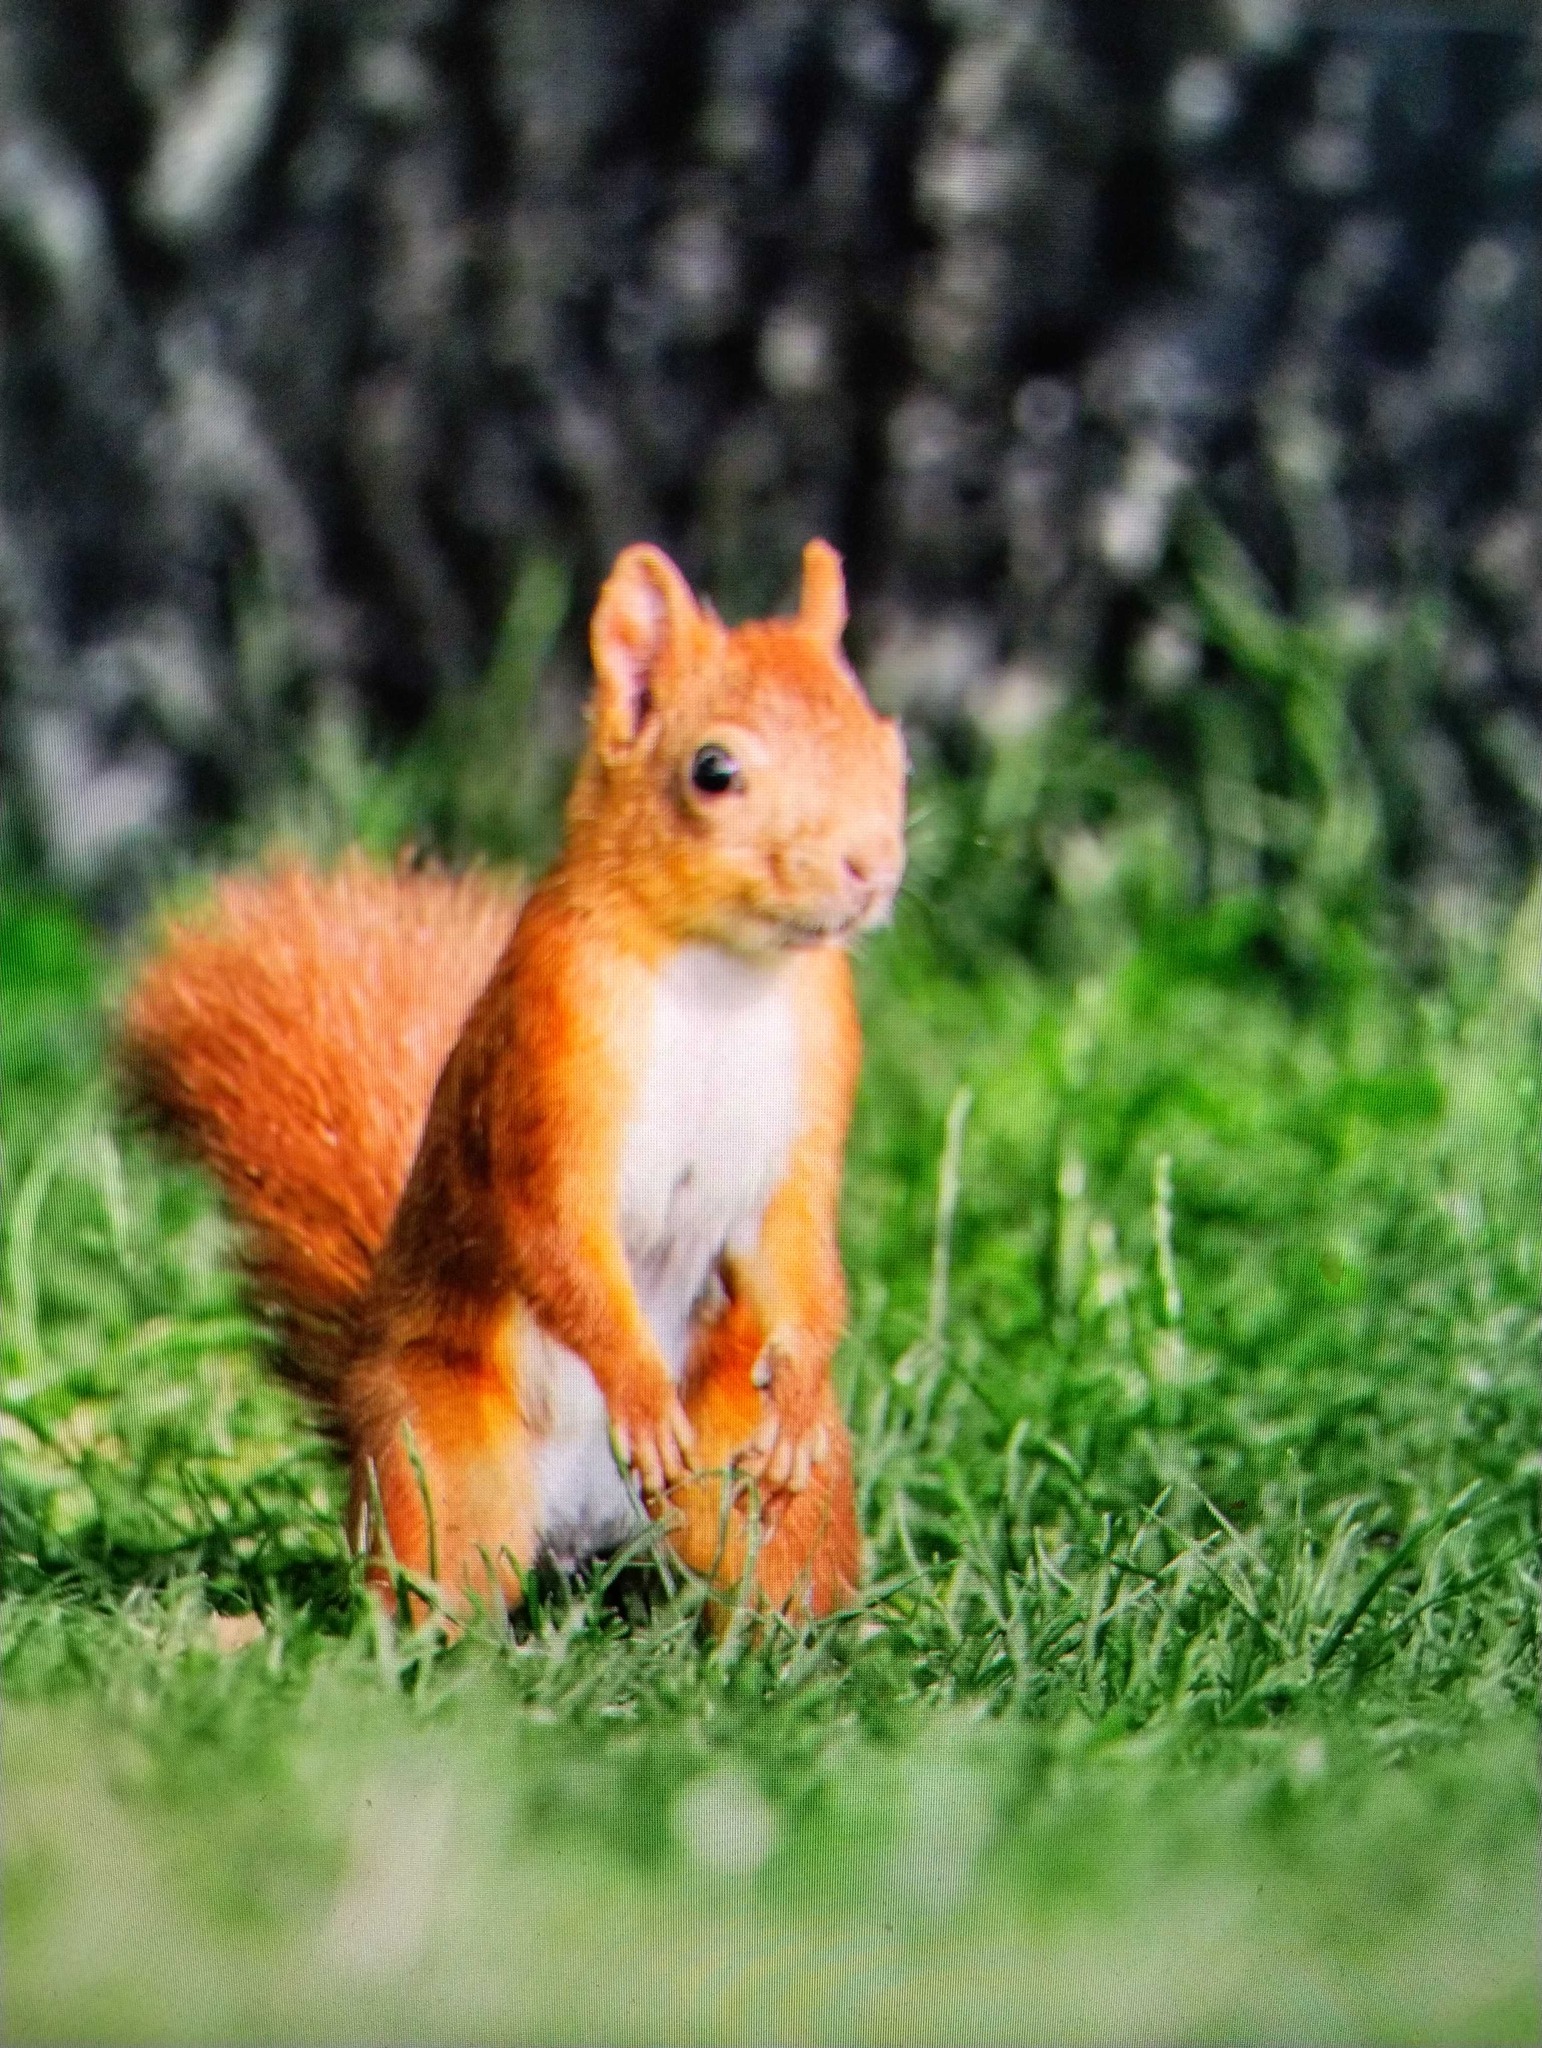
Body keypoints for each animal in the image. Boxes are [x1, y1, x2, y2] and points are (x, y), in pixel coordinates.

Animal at [122, 539, 908, 1626]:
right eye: (713, 771)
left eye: (891, 750)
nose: (870, 866)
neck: (723, 967)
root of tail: (591, 1531)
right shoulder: (550, 1048)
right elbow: (557, 1229)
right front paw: (638, 1393)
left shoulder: (812, 1086)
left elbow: (795, 1249)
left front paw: (791, 1396)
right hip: (441, 1459)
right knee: (438, 1589)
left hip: (754, 1480)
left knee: (765, 1575)